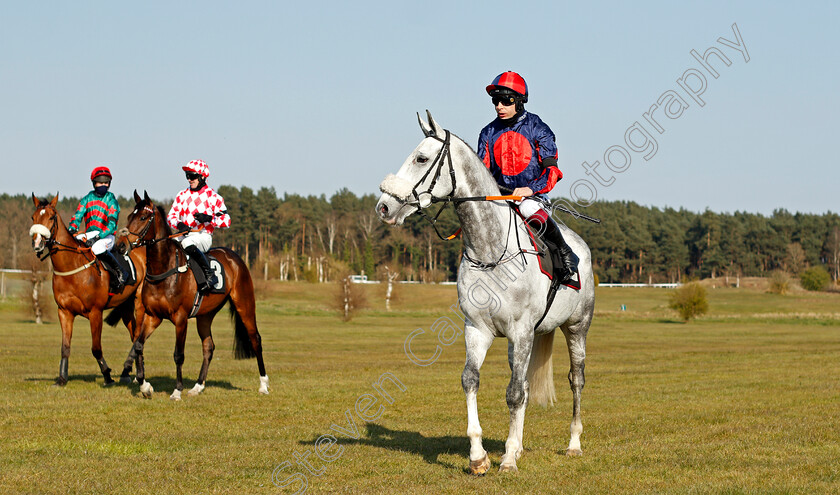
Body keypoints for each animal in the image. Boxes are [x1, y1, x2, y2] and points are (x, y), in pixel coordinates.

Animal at [28, 194, 148, 388]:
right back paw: (131, 372)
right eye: (33, 217)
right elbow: (65, 347)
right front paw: (61, 379)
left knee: (138, 336)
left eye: (52, 217)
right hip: (125, 306)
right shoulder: (64, 312)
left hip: (140, 303)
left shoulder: (95, 312)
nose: (37, 242)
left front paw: (107, 375)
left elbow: (96, 348)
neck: (72, 268)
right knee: (134, 335)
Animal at [121, 192, 270, 402]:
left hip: (245, 304)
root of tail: (234, 257)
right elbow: (139, 346)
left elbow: (178, 355)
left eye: (142, 217)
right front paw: (145, 387)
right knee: (209, 346)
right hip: (205, 315)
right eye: (129, 217)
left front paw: (177, 391)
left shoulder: (180, 319)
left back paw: (263, 385)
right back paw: (198, 386)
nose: (121, 245)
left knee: (255, 339)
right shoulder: (153, 316)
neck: (164, 270)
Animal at [374, 112, 596, 472]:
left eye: (421, 158)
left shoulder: (522, 330)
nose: (383, 207)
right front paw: (480, 456)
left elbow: (514, 394)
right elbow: (472, 379)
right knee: (524, 383)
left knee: (575, 379)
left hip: (577, 328)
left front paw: (507, 459)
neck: (491, 253)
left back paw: (573, 444)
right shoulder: (478, 328)